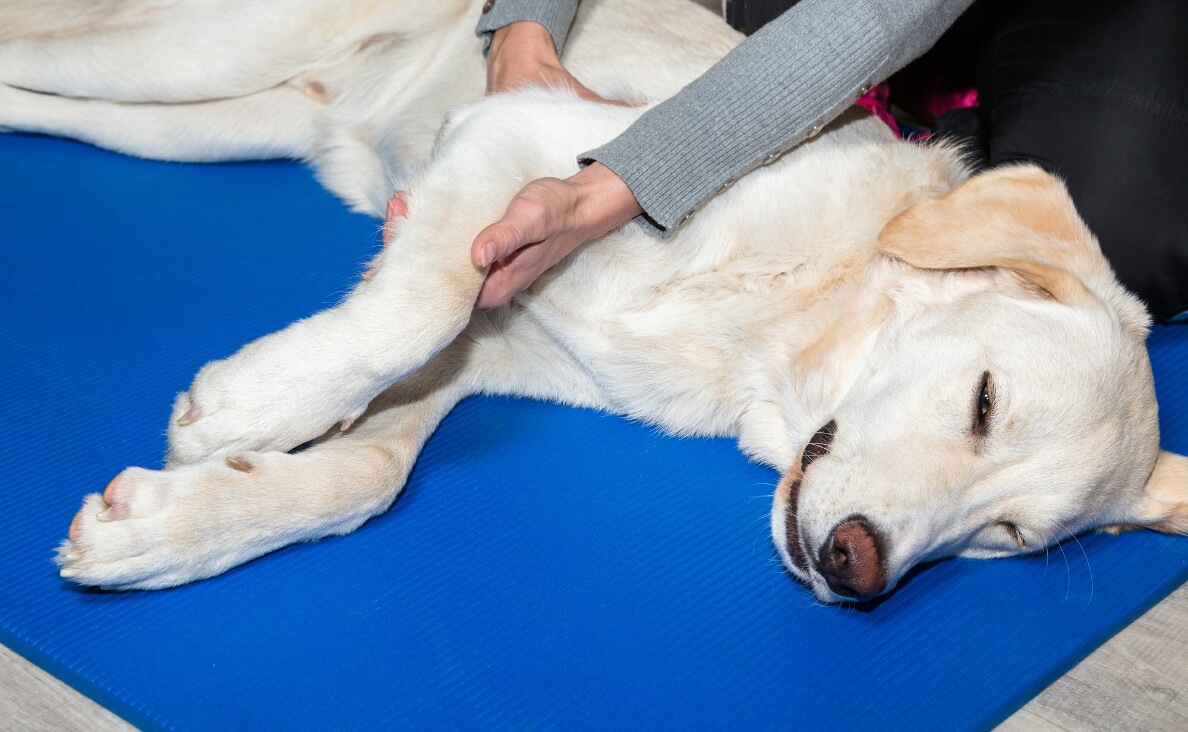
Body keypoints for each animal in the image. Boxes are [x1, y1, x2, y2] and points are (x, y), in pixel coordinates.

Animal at [4, 0, 1183, 601]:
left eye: (1007, 537)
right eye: (984, 402)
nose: (861, 569)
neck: (770, 328)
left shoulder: (485, 347)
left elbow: (370, 477)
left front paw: (171, 528)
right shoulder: (517, 146)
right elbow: (418, 306)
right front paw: (249, 410)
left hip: (200, 118)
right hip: (188, 53)